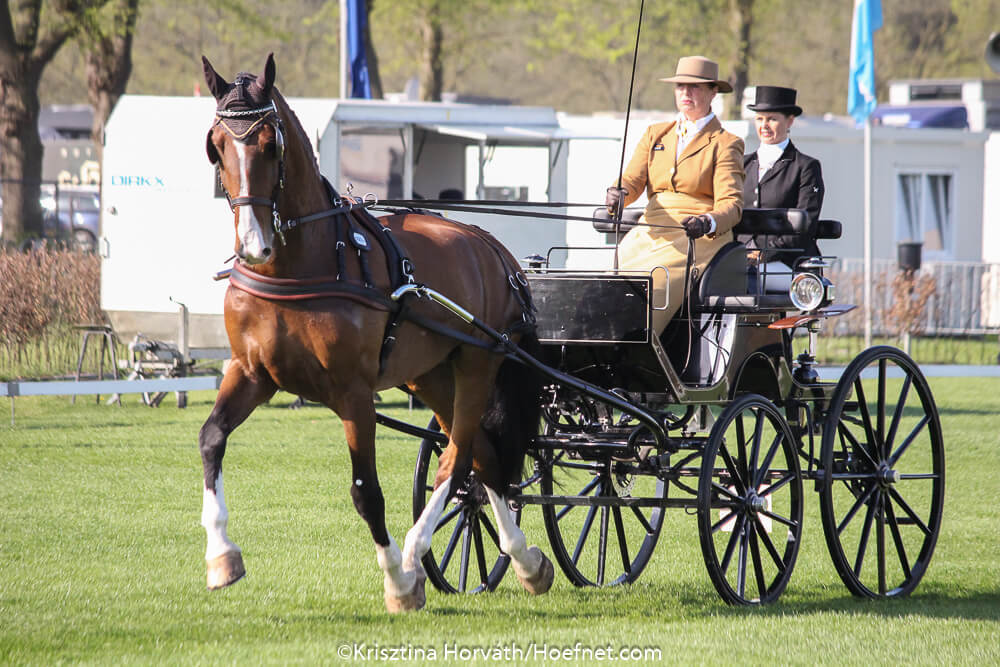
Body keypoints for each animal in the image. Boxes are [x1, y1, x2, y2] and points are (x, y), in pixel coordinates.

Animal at [198, 54, 553, 612]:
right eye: (215, 145)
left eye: (270, 144)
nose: (254, 246)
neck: (302, 266)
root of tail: (493, 246)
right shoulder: (253, 373)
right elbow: (211, 439)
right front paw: (221, 556)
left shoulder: (353, 392)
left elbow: (366, 491)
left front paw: (399, 583)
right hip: (431, 375)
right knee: (485, 458)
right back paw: (526, 562)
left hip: (477, 364)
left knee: (458, 460)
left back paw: (417, 554)